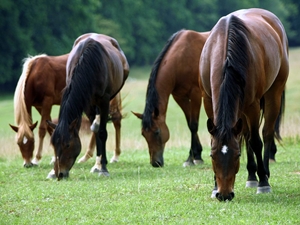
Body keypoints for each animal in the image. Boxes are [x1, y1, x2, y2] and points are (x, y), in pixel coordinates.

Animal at [47, 33, 129, 179]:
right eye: (53, 145)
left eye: (67, 145)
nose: (60, 173)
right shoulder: (86, 103)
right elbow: (96, 132)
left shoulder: (104, 101)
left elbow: (102, 132)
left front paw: (102, 168)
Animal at [132, 29, 210, 167]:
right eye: (143, 134)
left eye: (157, 132)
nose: (155, 163)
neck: (181, 59)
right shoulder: (180, 97)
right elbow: (189, 124)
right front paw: (194, 156)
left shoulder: (195, 94)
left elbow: (193, 125)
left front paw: (193, 158)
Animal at [199, 8, 288, 200]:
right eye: (212, 155)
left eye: (237, 155)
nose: (224, 195)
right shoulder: (208, 100)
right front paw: (214, 187)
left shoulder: (252, 106)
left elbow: (255, 141)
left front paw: (263, 183)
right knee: (245, 134)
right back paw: (251, 176)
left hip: (273, 94)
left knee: (266, 133)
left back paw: (264, 174)